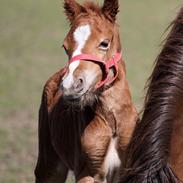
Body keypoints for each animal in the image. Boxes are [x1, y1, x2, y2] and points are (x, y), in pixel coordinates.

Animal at [34, 0, 137, 183]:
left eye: (104, 43)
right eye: (65, 47)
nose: (69, 85)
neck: (112, 122)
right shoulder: (87, 172)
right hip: (50, 166)